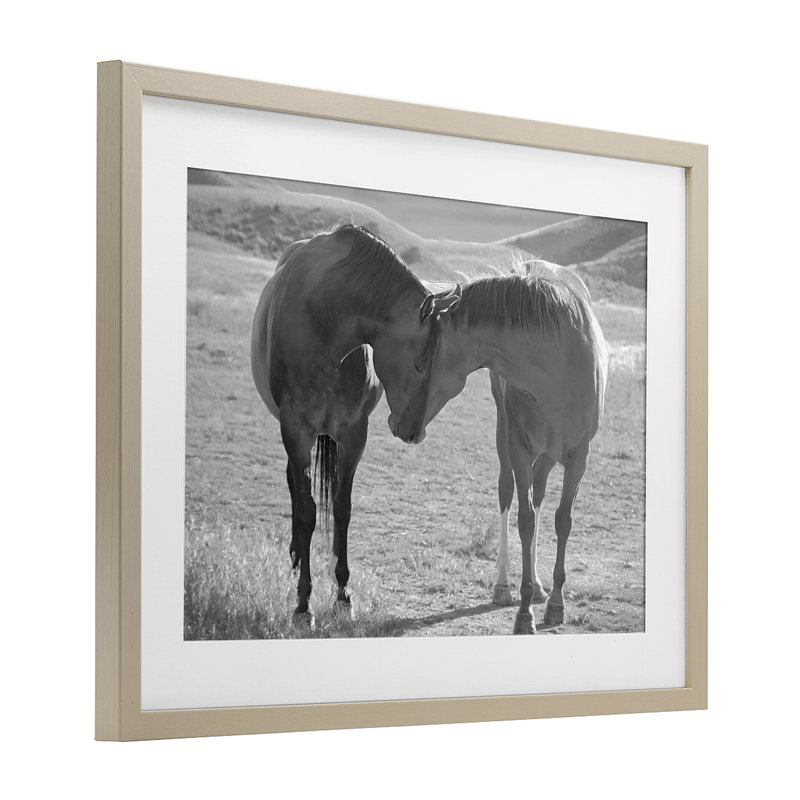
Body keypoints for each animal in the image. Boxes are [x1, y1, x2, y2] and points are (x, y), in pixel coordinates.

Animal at [389, 261, 608, 634]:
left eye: (419, 364)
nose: (397, 424)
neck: (556, 362)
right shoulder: (518, 447)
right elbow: (524, 519)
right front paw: (524, 612)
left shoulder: (579, 457)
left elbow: (562, 521)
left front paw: (555, 604)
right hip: (506, 434)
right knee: (509, 492)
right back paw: (504, 585)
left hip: (549, 454)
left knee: (540, 493)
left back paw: (539, 585)